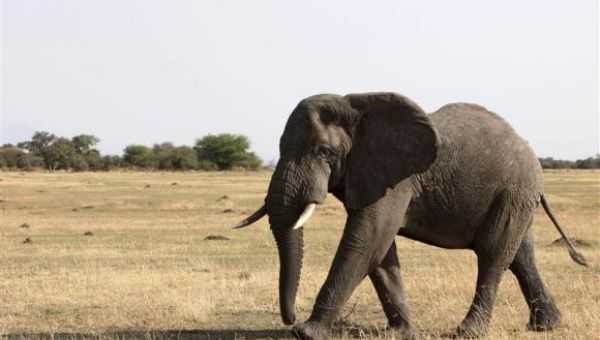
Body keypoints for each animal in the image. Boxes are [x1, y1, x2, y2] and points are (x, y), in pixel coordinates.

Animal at [236, 91, 584, 338]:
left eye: (325, 152)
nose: (291, 318)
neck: (355, 107)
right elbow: (379, 249)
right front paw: (400, 333)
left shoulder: (397, 179)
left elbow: (367, 239)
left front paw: (308, 333)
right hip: (516, 196)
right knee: (521, 255)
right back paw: (547, 326)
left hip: (514, 190)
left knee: (493, 253)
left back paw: (467, 332)